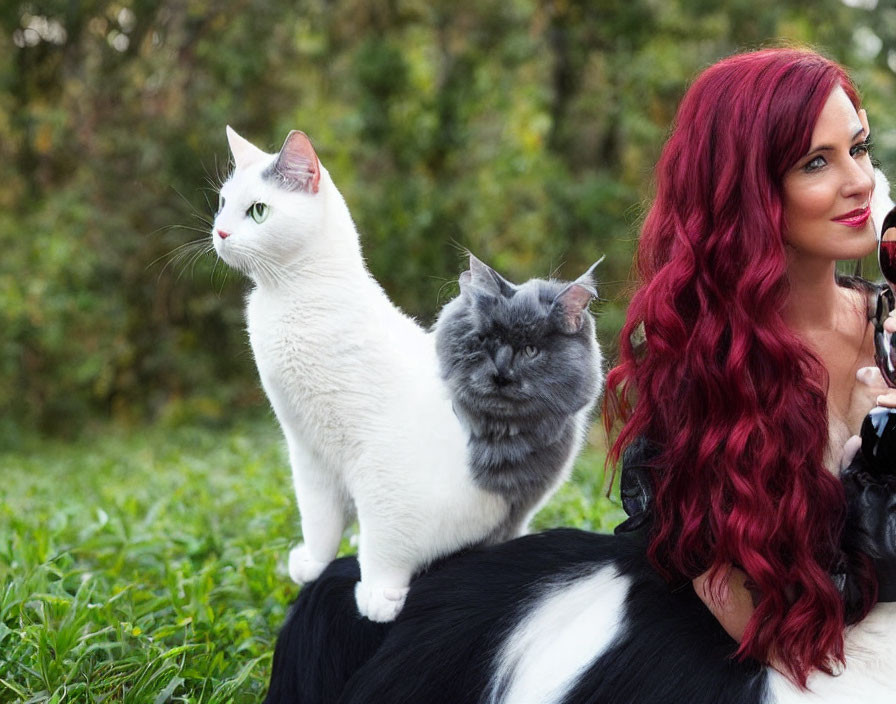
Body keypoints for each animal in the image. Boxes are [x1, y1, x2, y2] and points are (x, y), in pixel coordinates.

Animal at [206, 128, 508, 620]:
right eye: (223, 203)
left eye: (258, 210)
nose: (220, 232)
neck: (292, 295)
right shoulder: (307, 451)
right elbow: (318, 516)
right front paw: (314, 562)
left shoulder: (376, 462)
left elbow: (385, 537)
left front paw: (379, 592)